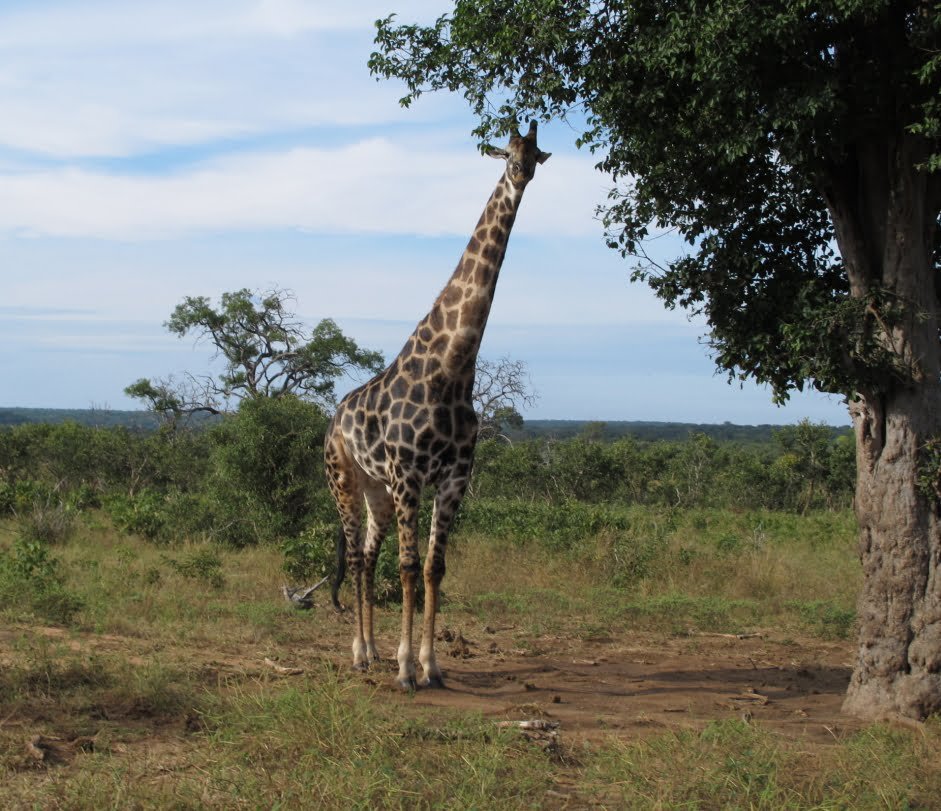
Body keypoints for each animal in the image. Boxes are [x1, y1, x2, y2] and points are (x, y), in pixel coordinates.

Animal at [324, 122, 548, 692]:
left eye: (536, 151)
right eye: (506, 151)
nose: (521, 173)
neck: (453, 369)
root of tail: (333, 419)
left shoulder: (453, 479)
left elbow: (432, 568)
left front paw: (431, 665)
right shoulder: (409, 475)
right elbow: (407, 568)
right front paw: (407, 670)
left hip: (377, 491)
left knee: (369, 556)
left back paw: (373, 650)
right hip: (345, 481)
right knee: (356, 557)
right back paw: (360, 653)